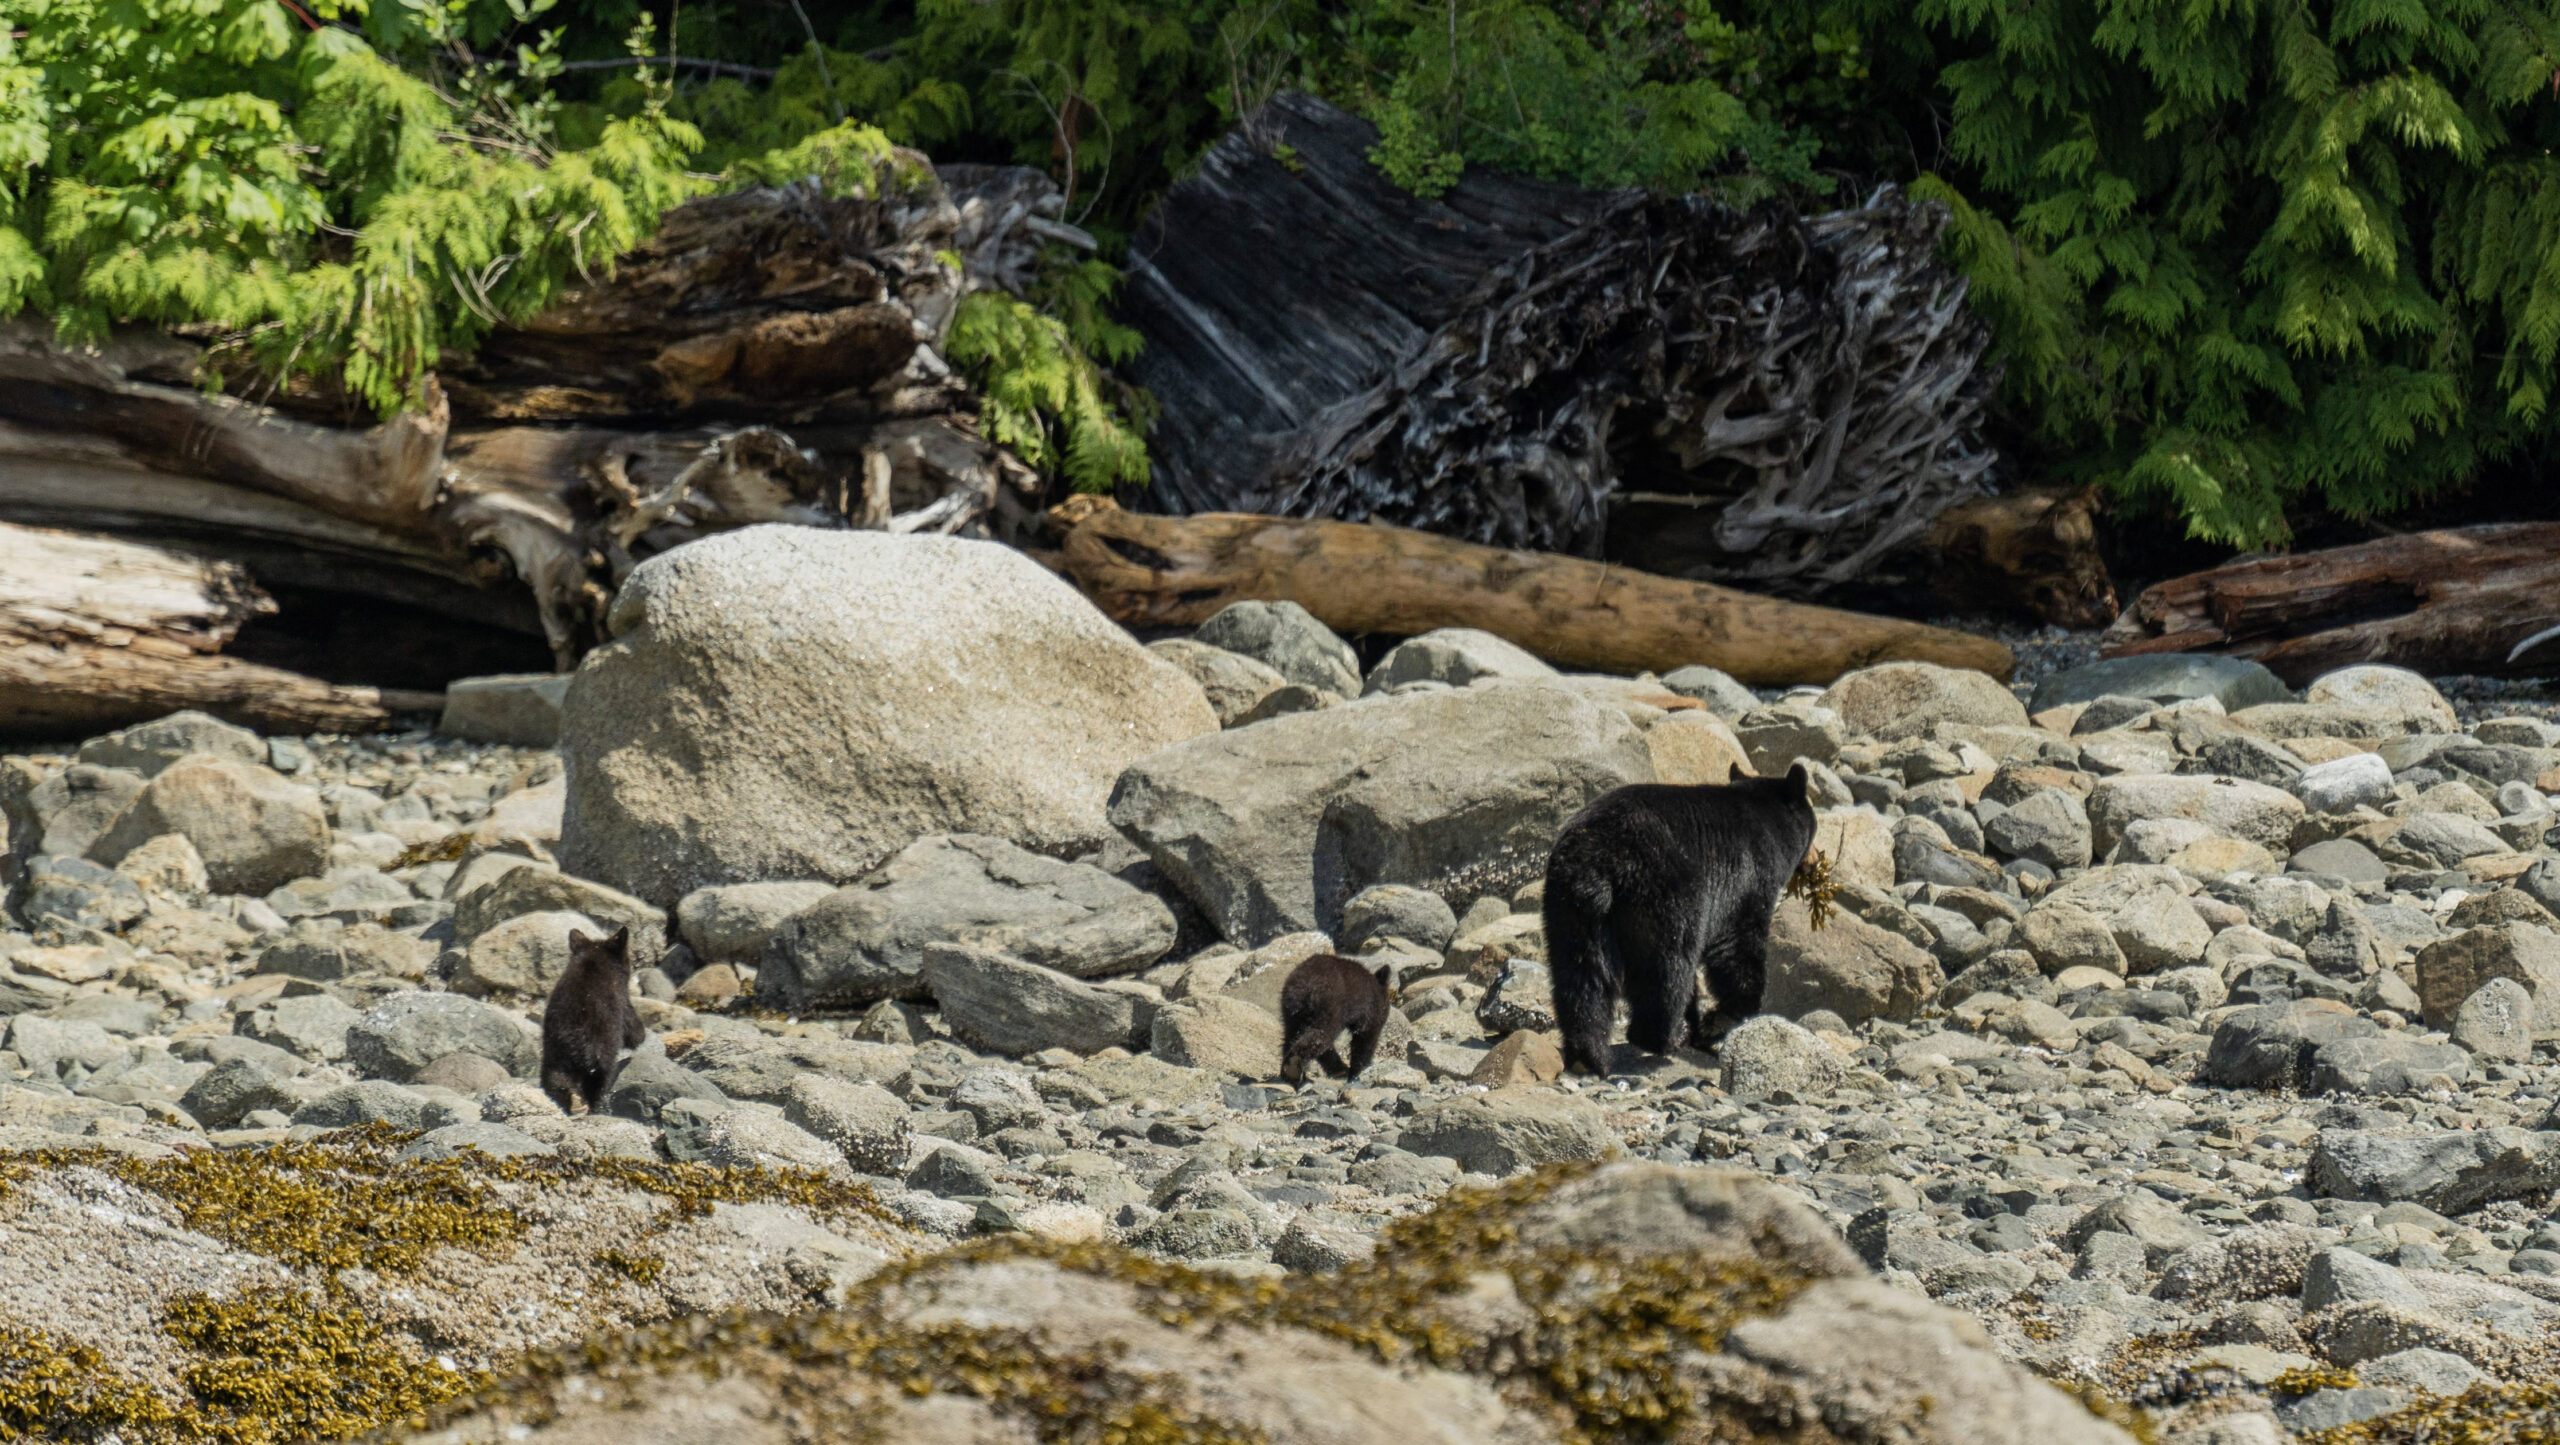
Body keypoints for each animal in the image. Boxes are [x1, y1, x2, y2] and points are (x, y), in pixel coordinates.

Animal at [540, 925, 647, 1113]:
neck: (592, 959)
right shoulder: (621, 998)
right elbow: (630, 1024)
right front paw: (640, 1036)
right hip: (601, 1049)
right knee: (600, 1078)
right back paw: (594, 1105)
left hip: (554, 1057)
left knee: (555, 1080)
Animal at [1278, 953, 1395, 1086]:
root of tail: (1303, 987)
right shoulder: (1370, 1014)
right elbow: (1365, 1040)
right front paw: (1357, 1071)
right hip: (1329, 1007)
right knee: (1321, 1035)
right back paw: (1294, 1066)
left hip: (1292, 1012)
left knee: (1291, 1036)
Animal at [1542, 763, 1815, 1075]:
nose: (1814, 861)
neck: (1770, 826)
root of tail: (1598, 854)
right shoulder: (1747, 879)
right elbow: (1736, 946)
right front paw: (1725, 1017)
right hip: (1667, 894)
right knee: (1668, 966)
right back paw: (1667, 1038)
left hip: (1569, 903)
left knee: (1580, 971)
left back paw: (1589, 1054)